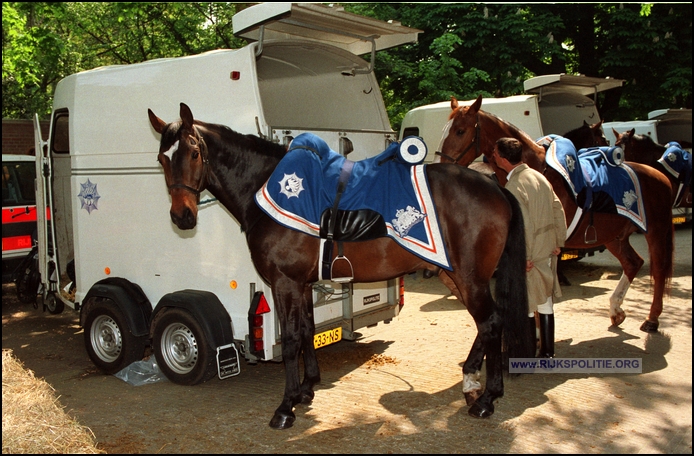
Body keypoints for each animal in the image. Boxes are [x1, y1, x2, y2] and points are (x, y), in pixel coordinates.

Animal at [150, 102, 536, 428]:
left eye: (194, 153)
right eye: (162, 159)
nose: (182, 216)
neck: (266, 187)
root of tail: (493, 186)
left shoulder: (284, 283)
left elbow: (290, 340)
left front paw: (285, 407)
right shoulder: (303, 284)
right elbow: (308, 331)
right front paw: (307, 388)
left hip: (470, 278)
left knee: (491, 323)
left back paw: (486, 399)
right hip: (455, 275)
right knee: (486, 324)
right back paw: (472, 381)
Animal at [440, 96, 676, 334]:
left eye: (460, 131)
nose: (442, 165)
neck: (534, 170)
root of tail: (659, 176)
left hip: (655, 231)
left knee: (658, 269)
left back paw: (652, 318)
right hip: (614, 236)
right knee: (632, 263)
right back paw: (616, 310)